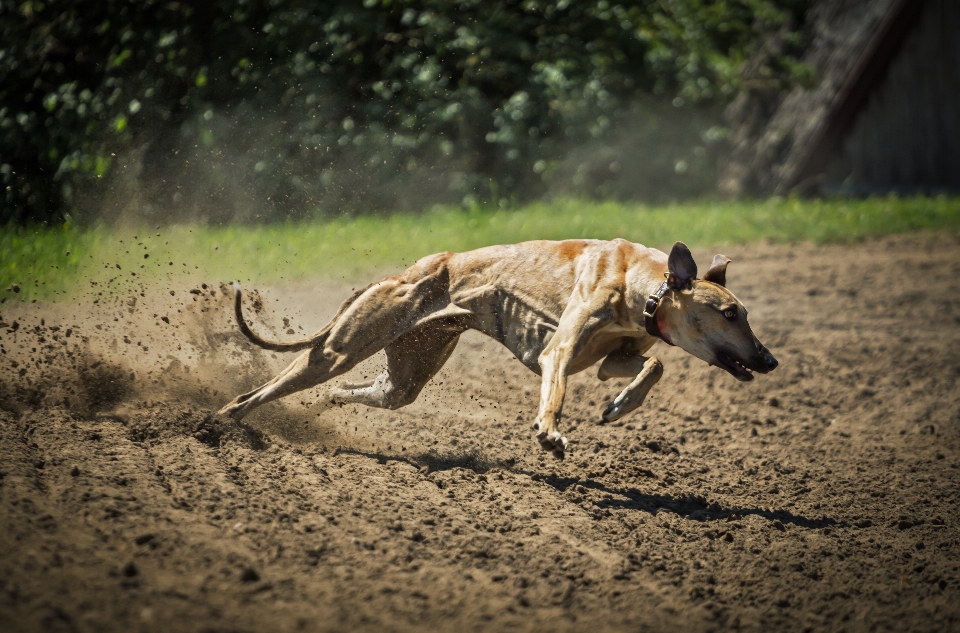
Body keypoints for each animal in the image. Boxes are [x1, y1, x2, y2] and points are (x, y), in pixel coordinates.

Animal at [218, 239, 772, 456]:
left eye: (745, 312)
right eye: (730, 314)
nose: (769, 360)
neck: (643, 284)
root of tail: (405, 273)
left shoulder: (612, 357)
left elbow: (652, 362)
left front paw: (619, 406)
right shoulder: (558, 354)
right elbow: (555, 392)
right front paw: (550, 433)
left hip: (404, 376)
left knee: (362, 390)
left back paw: (320, 408)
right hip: (338, 351)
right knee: (254, 394)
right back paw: (221, 422)